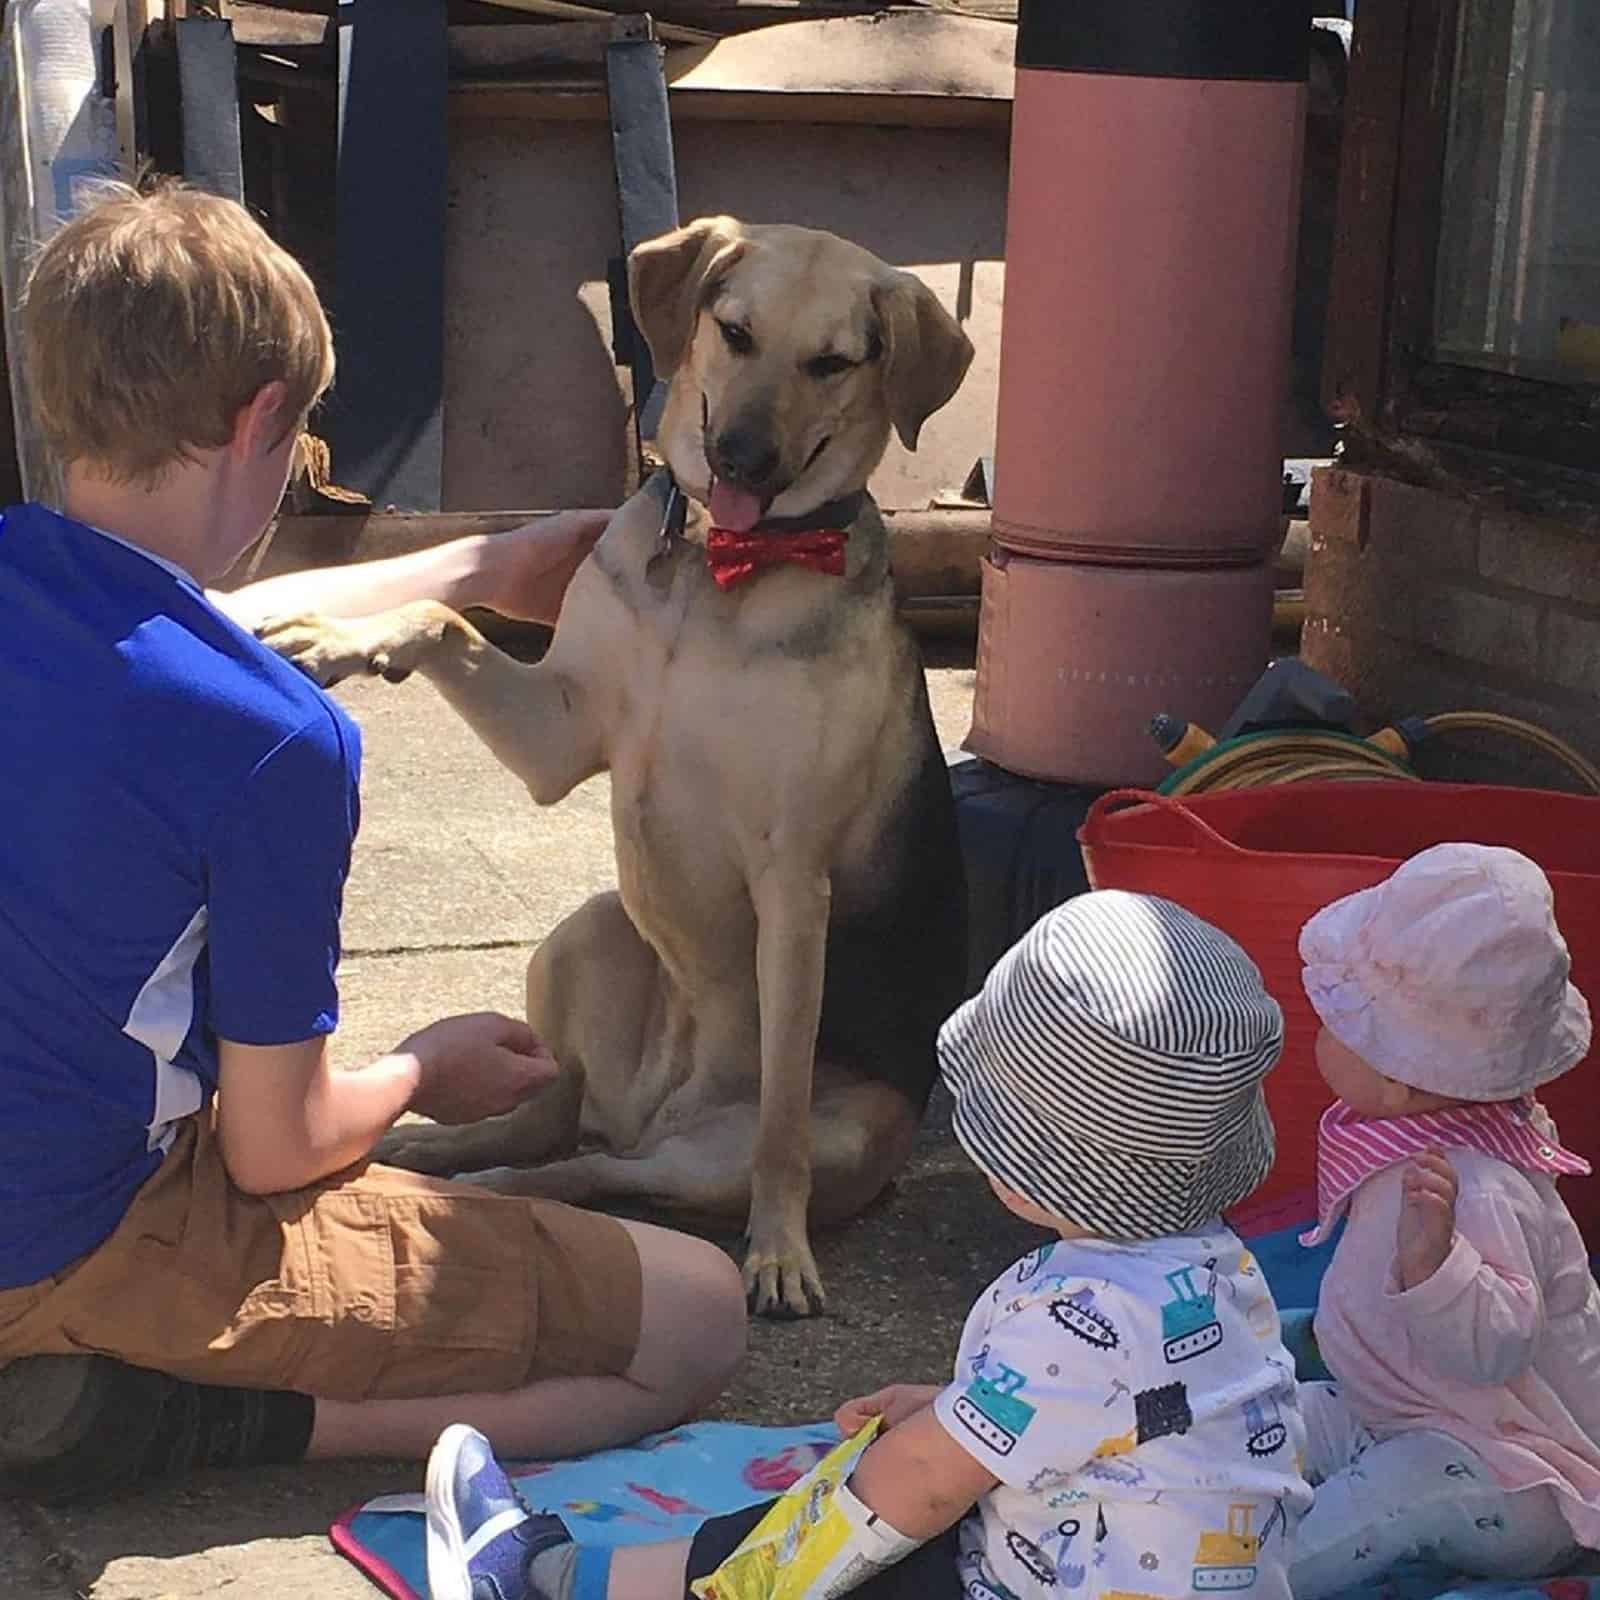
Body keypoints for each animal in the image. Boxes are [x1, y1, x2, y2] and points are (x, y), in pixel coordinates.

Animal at [259, 219, 972, 1312]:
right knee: (550, 1118)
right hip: (587, 929)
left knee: (595, 1168)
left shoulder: (792, 881)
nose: (741, 456)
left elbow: (779, 1126)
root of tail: (651, 1112)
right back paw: (435, 1148)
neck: (717, 567)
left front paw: (779, 1251)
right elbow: (443, 615)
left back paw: (499, 1188)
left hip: (767, 1139)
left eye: (834, 363)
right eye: (734, 332)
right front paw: (339, 635)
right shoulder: (559, 736)